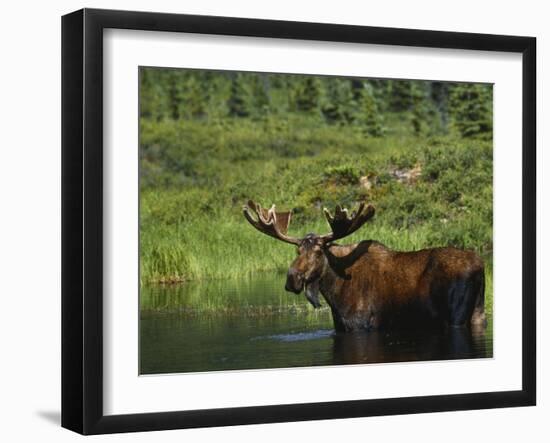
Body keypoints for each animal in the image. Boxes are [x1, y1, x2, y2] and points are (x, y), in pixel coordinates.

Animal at [243, 199, 488, 332]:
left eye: (319, 251)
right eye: (298, 251)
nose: (292, 279)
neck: (334, 293)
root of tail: (480, 267)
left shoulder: (360, 325)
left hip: (456, 316)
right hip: (477, 312)